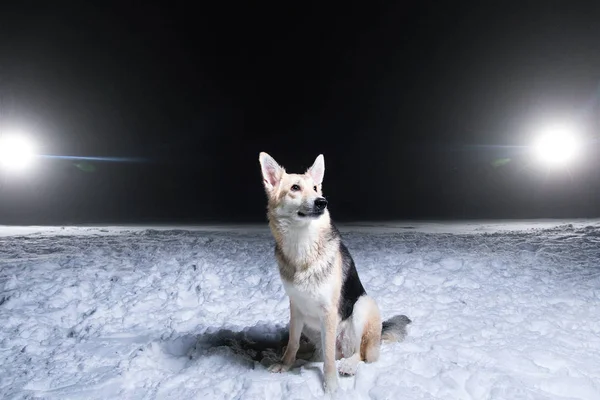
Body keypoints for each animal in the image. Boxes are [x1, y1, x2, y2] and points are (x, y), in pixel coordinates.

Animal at [255, 153, 410, 394]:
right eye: (295, 187)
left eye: (315, 188)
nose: (322, 202)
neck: (303, 247)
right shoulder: (295, 307)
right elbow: (292, 343)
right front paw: (285, 364)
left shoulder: (328, 313)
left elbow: (328, 359)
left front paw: (331, 385)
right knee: (313, 350)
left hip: (362, 306)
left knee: (359, 354)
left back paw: (348, 365)